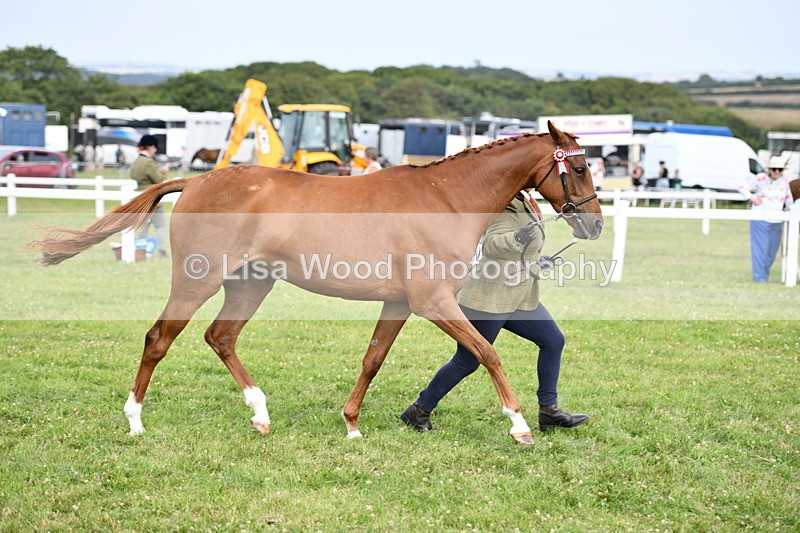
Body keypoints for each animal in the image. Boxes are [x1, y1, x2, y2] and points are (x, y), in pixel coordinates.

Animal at [30, 121, 603, 445]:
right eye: (577, 169)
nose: (594, 225)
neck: (445, 197)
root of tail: (196, 179)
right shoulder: (433, 301)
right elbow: (487, 353)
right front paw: (520, 426)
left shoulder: (399, 303)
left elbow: (373, 359)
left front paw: (351, 424)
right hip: (198, 281)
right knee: (158, 339)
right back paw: (135, 422)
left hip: (250, 284)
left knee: (221, 337)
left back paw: (260, 415)